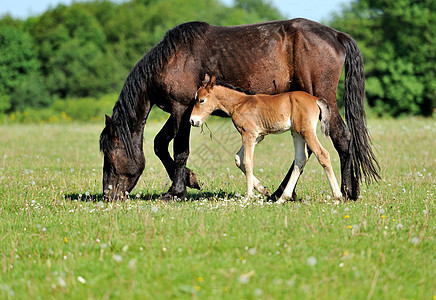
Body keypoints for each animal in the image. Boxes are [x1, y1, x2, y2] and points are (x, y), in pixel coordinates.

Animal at [191, 74, 344, 203]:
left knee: (322, 154)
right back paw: (282, 198)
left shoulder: (248, 134)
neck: (239, 103)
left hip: (306, 131)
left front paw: (248, 196)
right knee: (300, 159)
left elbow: (247, 162)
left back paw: (337, 196)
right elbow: (238, 159)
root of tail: (315, 99)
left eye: (201, 100)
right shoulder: (257, 137)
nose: (193, 121)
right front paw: (263, 190)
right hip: (296, 133)